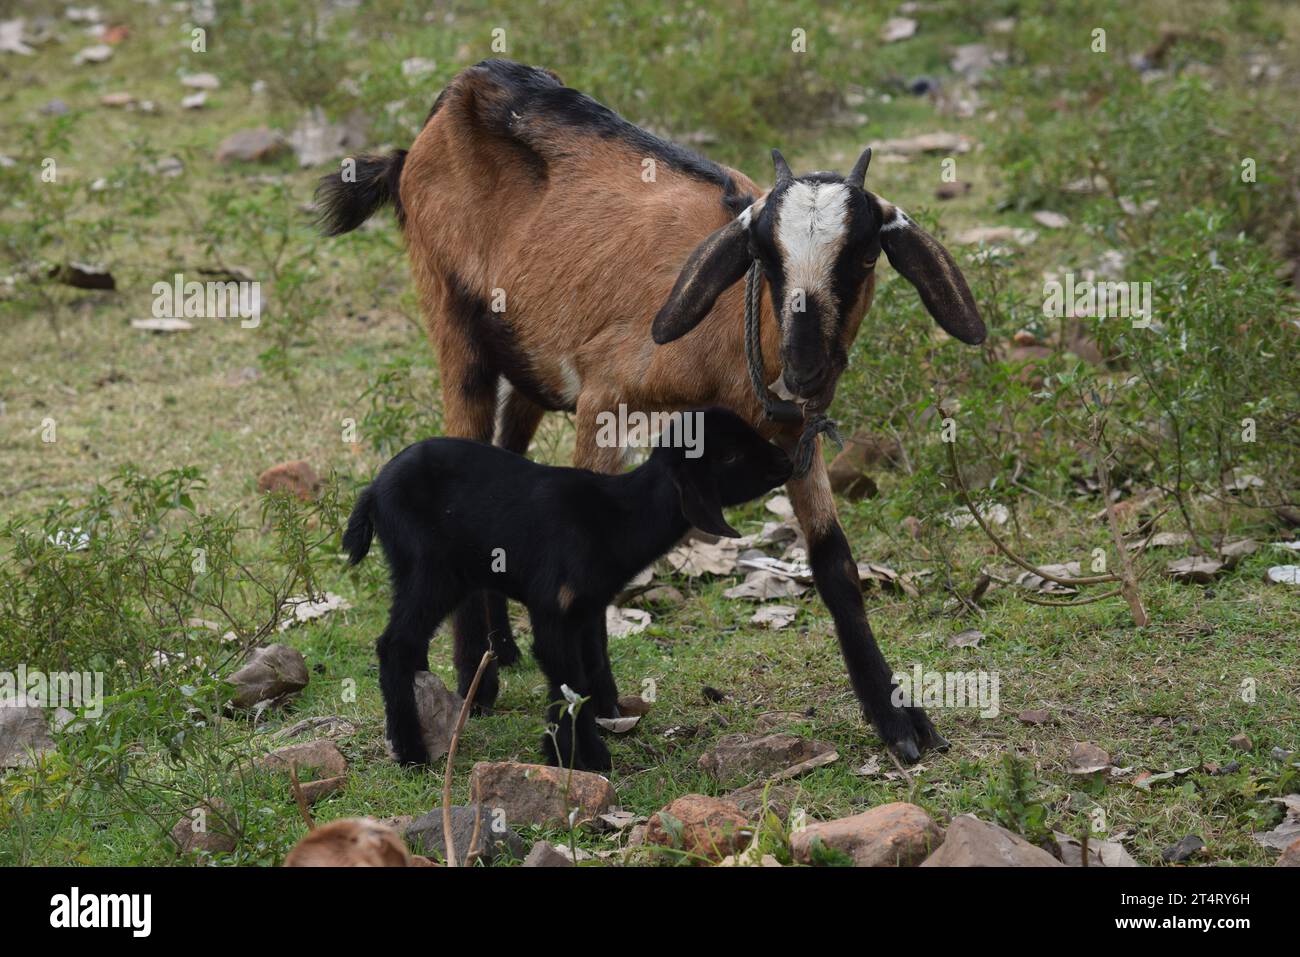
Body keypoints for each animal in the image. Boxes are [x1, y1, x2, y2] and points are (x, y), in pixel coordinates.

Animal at [343, 407, 792, 771]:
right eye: (730, 456)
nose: (787, 461)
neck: (619, 516)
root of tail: (372, 492)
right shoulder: (553, 607)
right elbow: (568, 678)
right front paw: (583, 757)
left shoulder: (588, 608)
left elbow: (595, 665)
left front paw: (604, 723)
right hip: (432, 570)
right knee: (395, 644)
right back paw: (411, 751)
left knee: (411, 644)